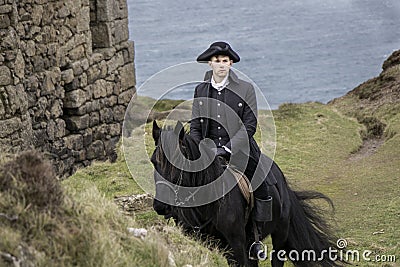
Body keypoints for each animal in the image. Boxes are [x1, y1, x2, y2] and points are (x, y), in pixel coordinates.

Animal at [150, 122, 344, 267]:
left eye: (177, 161)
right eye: (153, 161)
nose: (160, 206)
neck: (208, 206)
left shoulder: (236, 245)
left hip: (280, 233)